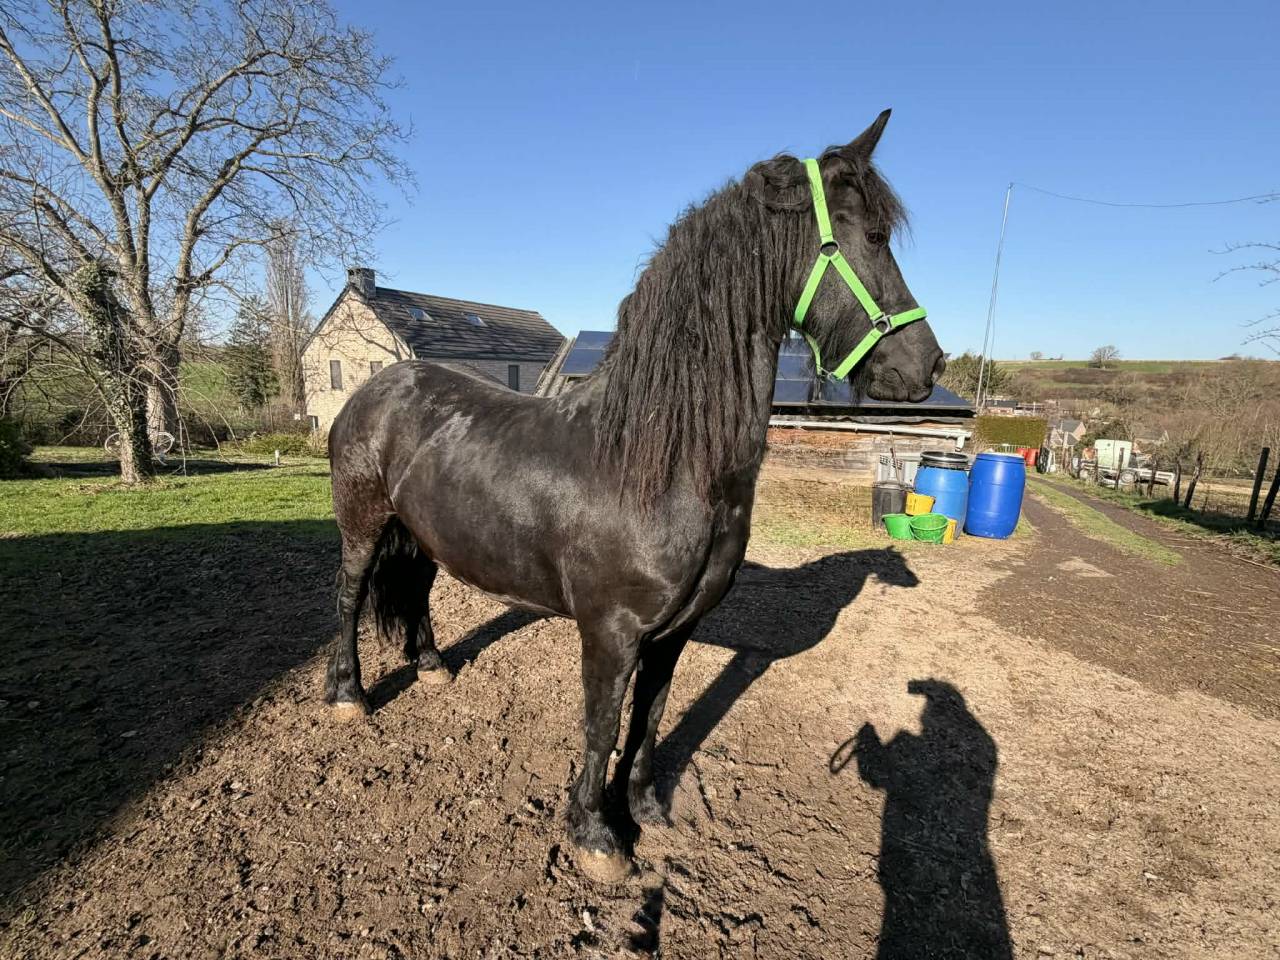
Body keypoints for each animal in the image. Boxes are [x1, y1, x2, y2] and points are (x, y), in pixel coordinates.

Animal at [325, 109, 945, 883]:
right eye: (874, 237)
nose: (926, 367)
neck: (661, 462)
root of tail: (376, 387)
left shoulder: (673, 632)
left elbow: (650, 717)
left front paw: (647, 808)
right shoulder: (611, 632)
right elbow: (601, 724)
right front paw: (596, 835)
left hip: (424, 535)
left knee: (414, 590)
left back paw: (434, 668)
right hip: (362, 528)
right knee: (349, 600)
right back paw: (349, 697)